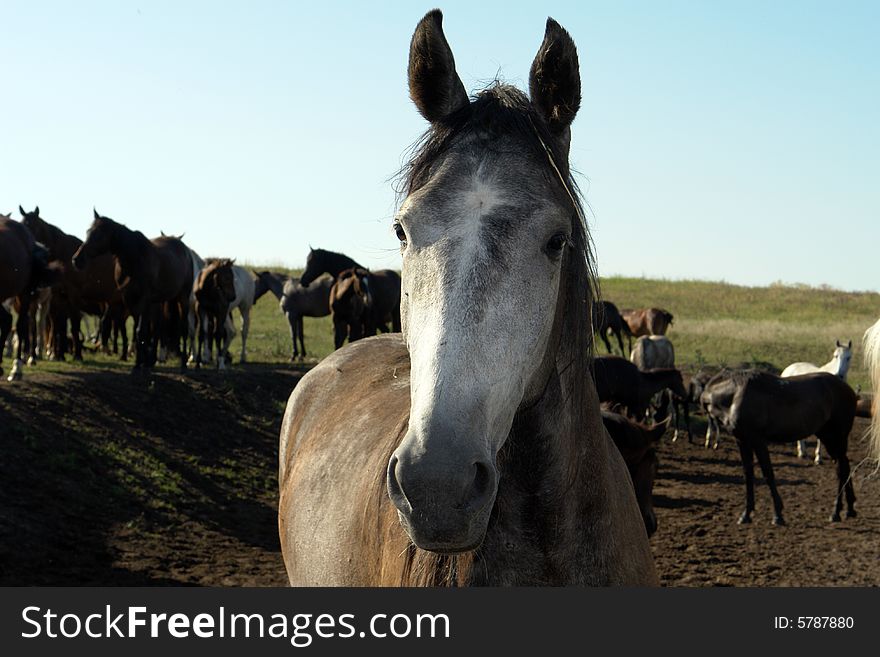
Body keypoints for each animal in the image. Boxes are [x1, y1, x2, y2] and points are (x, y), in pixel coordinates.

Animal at [72, 209, 192, 368]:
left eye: (99, 235)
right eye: (88, 232)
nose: (77, 259)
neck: (133, 259)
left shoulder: (144, 299)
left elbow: (141, 331)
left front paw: (138, 366)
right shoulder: (129, 299)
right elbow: (138, 331)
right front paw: (141, 363)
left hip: (182, 297)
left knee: (183, 329)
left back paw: (184, 364)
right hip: (159, 301)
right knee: (158, 328)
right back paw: (152, 360)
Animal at [696, 372, 856, 524]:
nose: (712, 441)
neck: (735, 395)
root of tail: (848, 389)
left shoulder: (758, 441)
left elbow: (768, 473)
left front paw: (777, 515)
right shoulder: (742, 441)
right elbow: (748, 474)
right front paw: (745, 515)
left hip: (838, 438)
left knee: (842, 469)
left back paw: (835, 513)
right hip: (827, 437)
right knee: (844, 466)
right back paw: (849, 509)